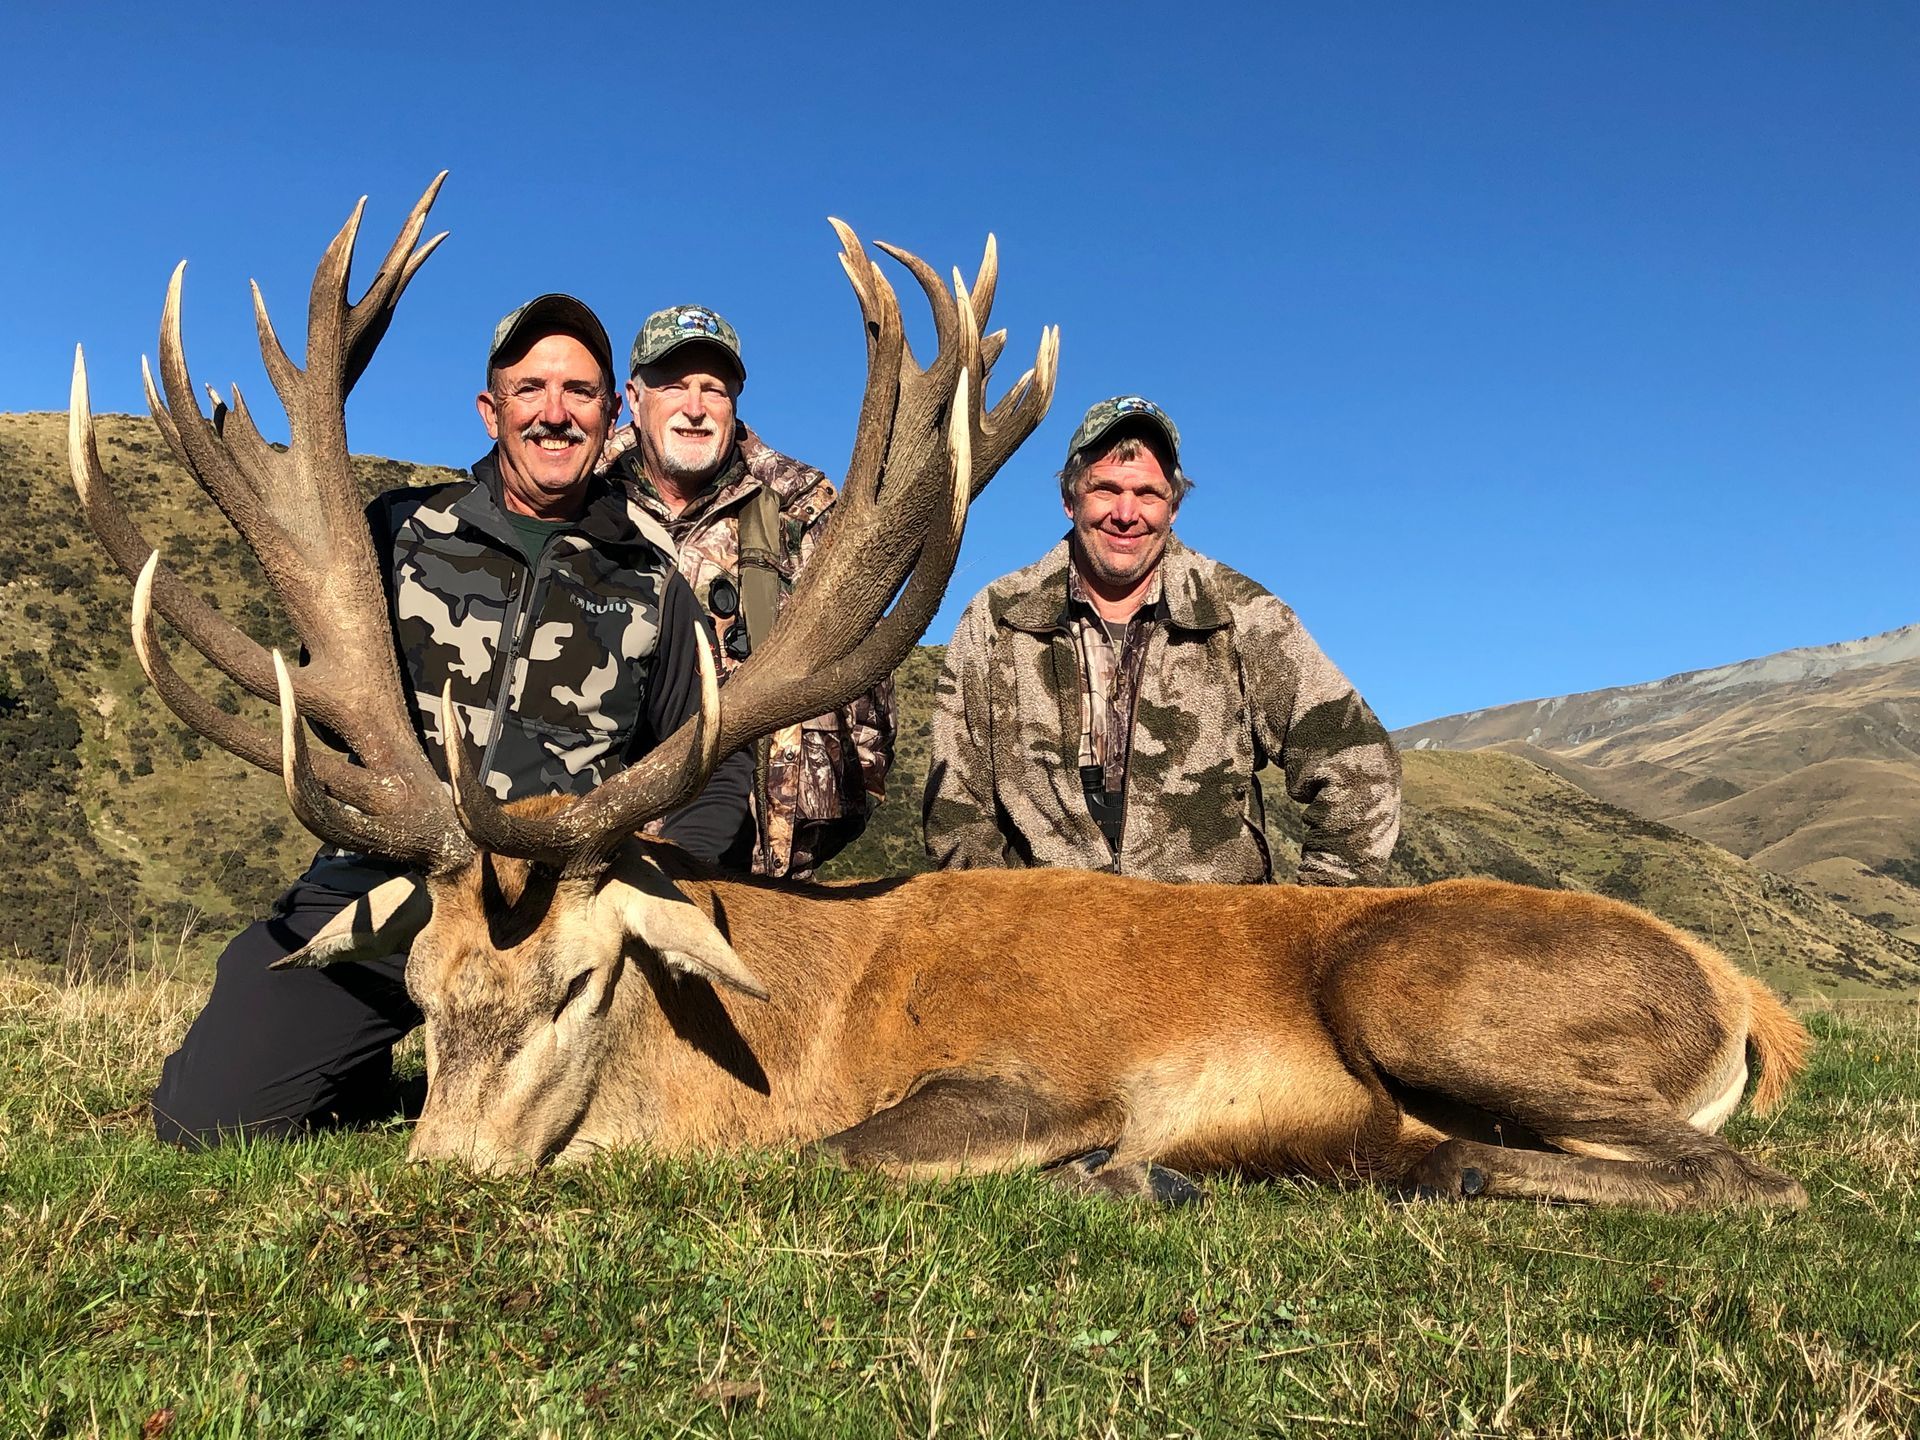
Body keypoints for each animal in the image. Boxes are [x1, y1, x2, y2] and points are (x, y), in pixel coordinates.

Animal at [69, 177, 1812, 1212]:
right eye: (424, 996)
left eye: (578, 986)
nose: (445, 1180)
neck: (773, 1033)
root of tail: (1752, 1002)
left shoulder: (1033, 1073)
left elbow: (842, 1157)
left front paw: (1100, 1164)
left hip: (1425, 991)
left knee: (1726, 1182)